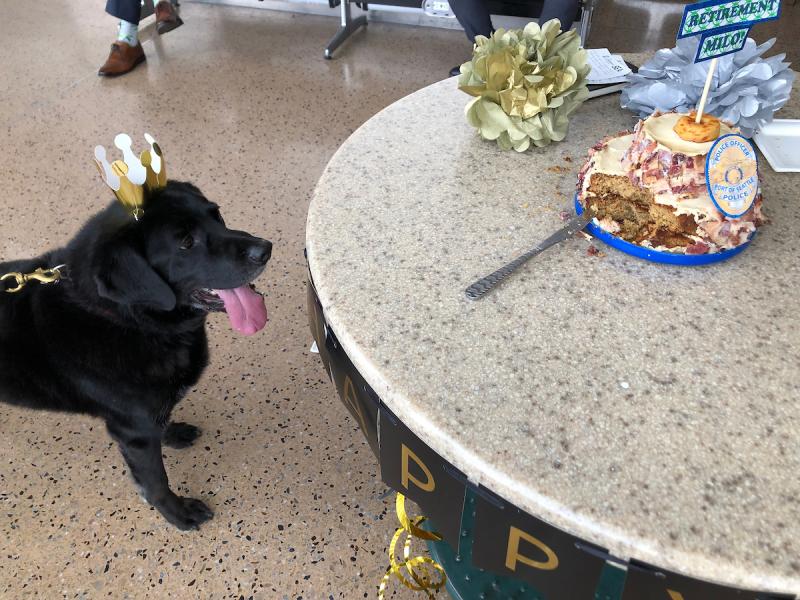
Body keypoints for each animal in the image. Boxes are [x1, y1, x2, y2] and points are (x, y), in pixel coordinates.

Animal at [0, 182, 272, 528]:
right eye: (186, 242)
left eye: (217, 215)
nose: (265, 249)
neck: (121, 318)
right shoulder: (134, 434)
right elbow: (156, 483)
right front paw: (178, 514)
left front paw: (173, 432)